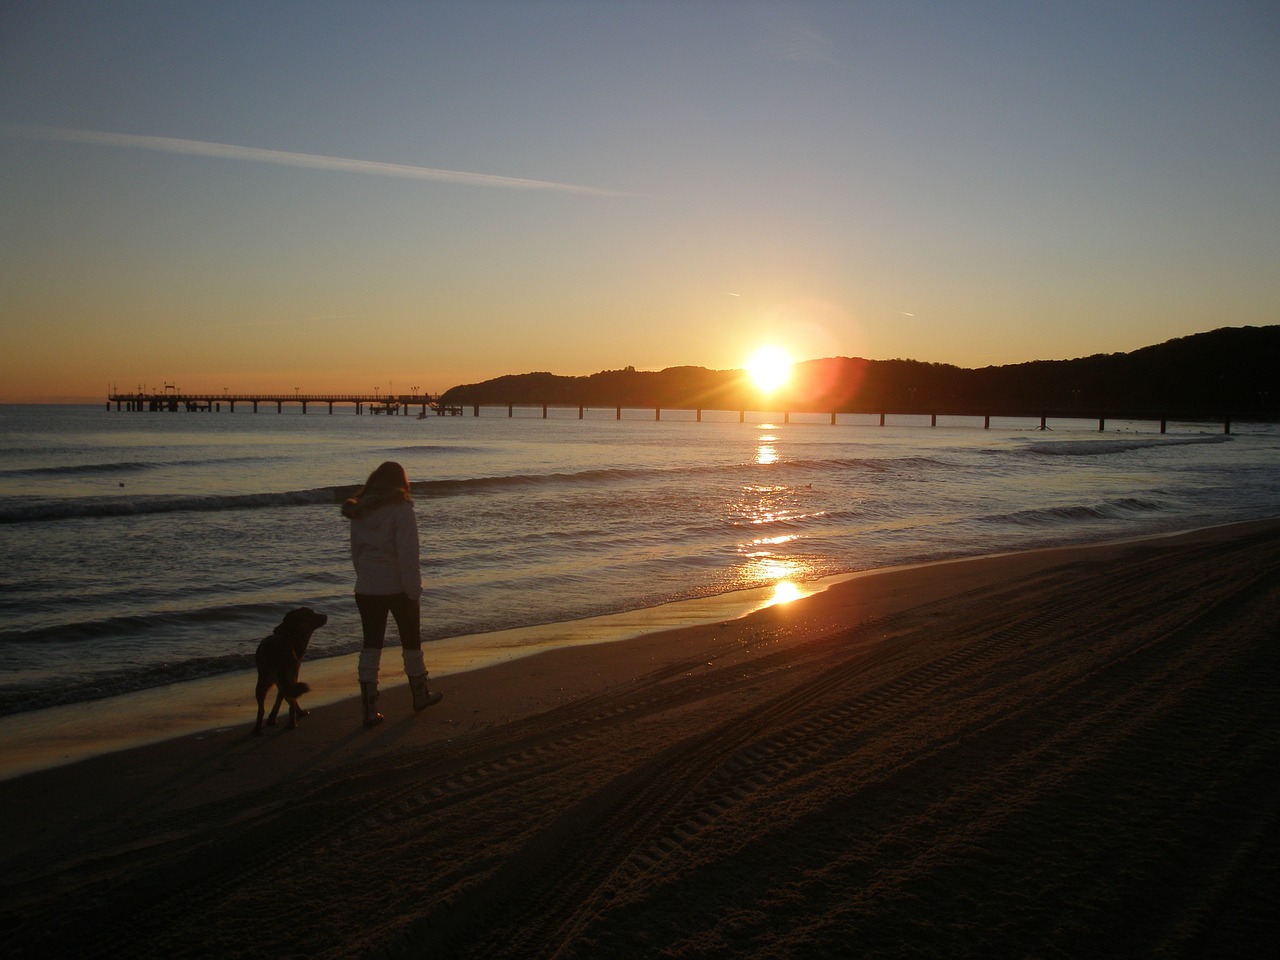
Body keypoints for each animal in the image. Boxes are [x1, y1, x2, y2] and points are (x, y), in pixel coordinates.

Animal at [252, 609, 327, 737]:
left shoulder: (281, 682)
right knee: (291, 702)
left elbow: (279, 700)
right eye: (311, 613)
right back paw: (293, 722)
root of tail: (276, 652)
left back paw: (257, 730)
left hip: (263, 682)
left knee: (261, 709)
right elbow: (285, 699)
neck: (290, 632)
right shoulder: (291, 678)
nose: (326, 615)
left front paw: (272, 719)